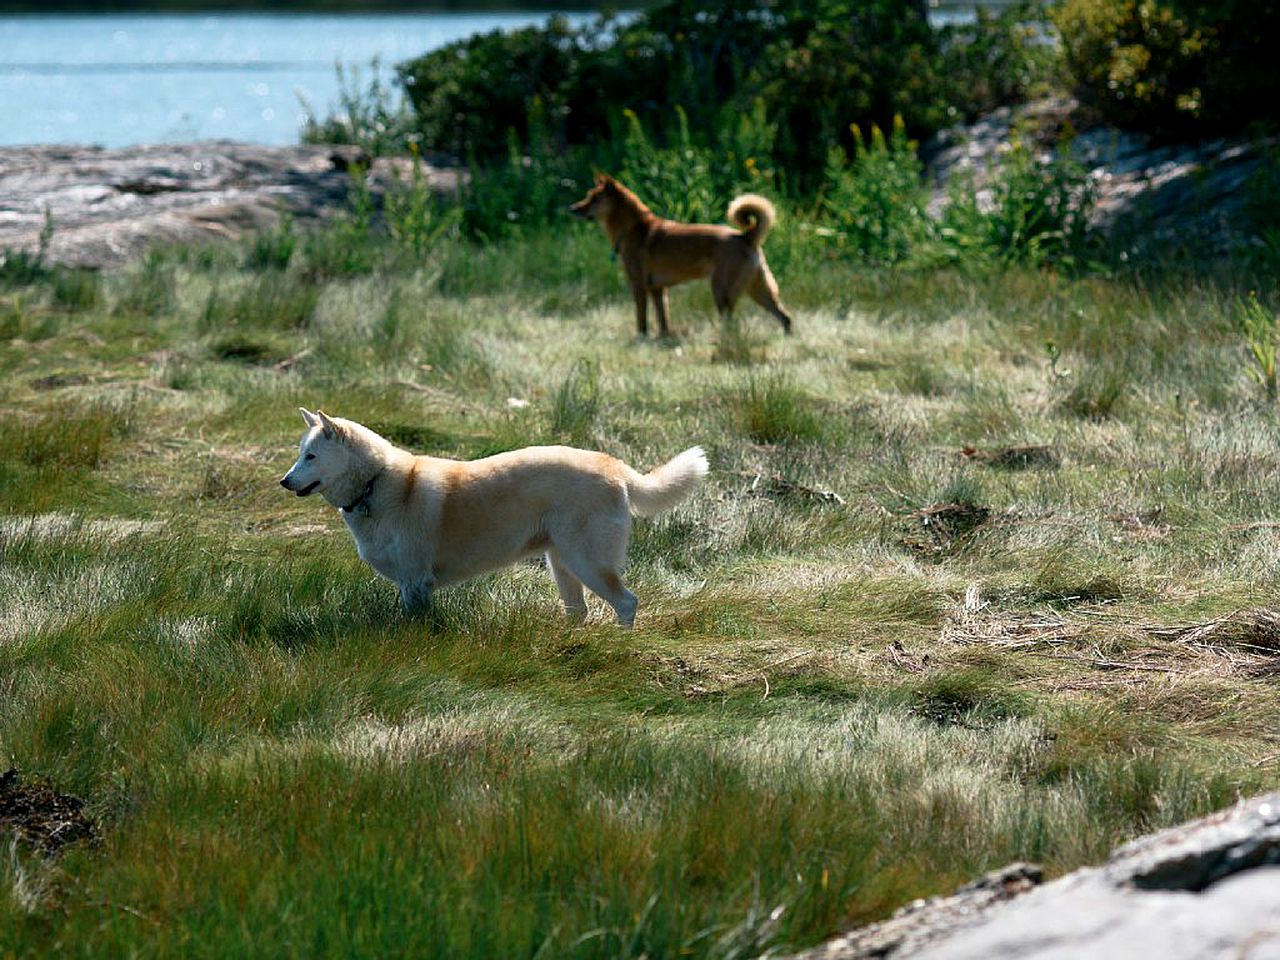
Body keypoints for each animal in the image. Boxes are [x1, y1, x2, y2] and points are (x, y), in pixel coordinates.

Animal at [280, 409, 711, 627]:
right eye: (300, 453)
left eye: (311, 456)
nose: (284, 481)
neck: (375, 483)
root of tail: (615, 465)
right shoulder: (409, 584)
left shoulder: (415, 583)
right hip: (562, 565)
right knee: (580, 611)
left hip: (586, 561)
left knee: (626, 602)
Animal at [570, 175, 788, 340]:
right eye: (588, 196)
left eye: (594, 198)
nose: (572, 209)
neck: (631, 228)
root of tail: (746, 237)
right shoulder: (658, 289)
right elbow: (663, 319)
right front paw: (663, 338)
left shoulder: (639, 286)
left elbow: (641, 319)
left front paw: (641, 339)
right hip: (759, 291)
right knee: (785, 318)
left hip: (722, 291)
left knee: (732, 324)